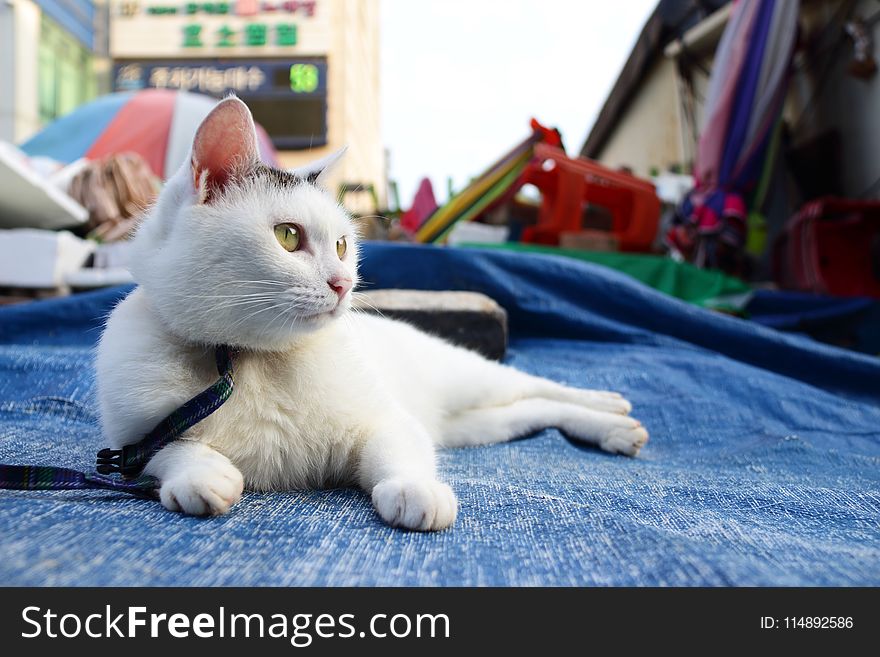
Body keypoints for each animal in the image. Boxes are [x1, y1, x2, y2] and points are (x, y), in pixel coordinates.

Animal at [96, 96, 648, 528]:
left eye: (342, 245)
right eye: (288, 236)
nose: (342, 284)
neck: (252, 362)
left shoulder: (386, 420)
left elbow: (397, 449)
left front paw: (413, 490)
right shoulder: (132, 440)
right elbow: (165, 452)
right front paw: (202, 474)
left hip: (468, 379)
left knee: (536, 386)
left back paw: (610, 408)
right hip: (473, 426)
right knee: (532, 411)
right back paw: (613, 428)